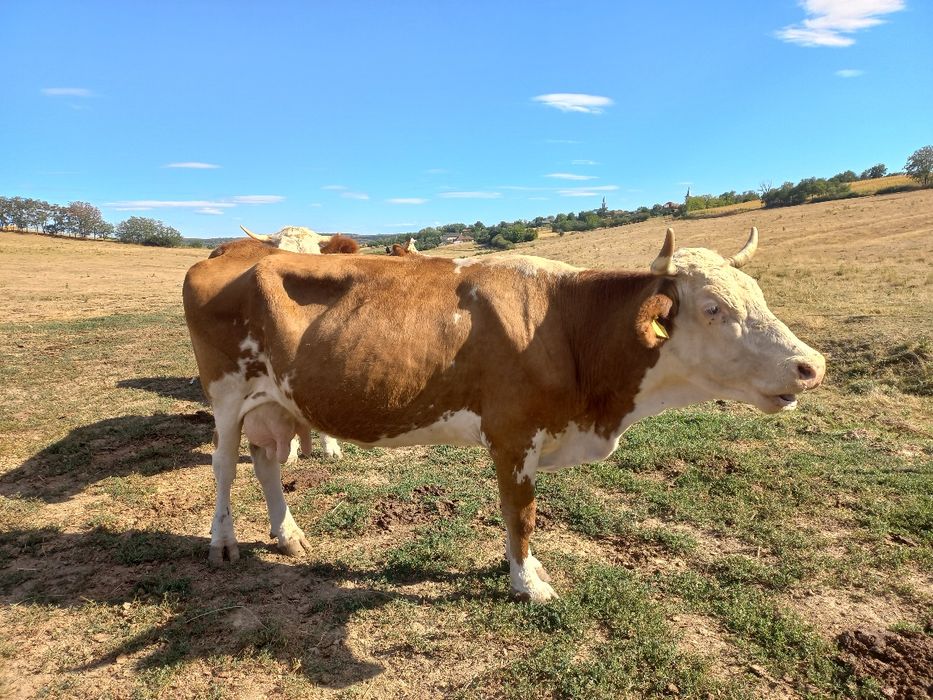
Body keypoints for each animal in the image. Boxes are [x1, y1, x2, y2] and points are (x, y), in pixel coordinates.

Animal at [182, 226, 825, 601]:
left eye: (759, 295)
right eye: (713, 308)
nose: (810, 365)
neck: (569, 326)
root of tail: (239, 253)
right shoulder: (512, 435)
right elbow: (522, 516)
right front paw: (527, 583)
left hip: (275, 399)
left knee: (267, 462)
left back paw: (287, 533)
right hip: (227, 395)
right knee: (224, 467)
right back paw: (223, 542)